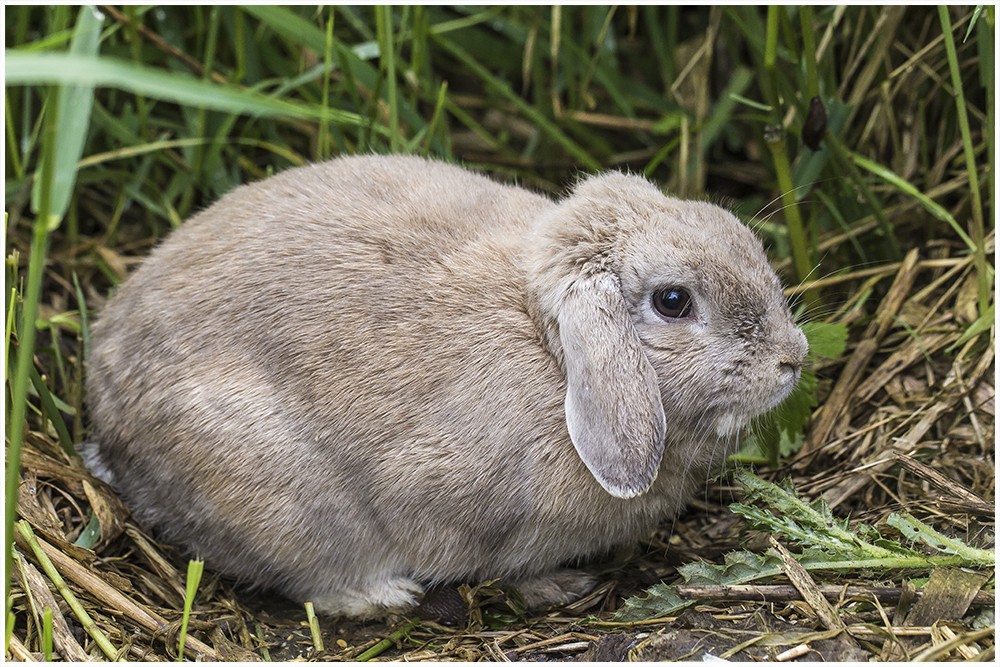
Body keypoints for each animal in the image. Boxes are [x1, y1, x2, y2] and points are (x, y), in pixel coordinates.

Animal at [84, 154, 804, 620]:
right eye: (673, 301)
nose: (791, 358)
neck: (551, 353)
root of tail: (106, 409)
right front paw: (554, 587)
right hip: (280, 500)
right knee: (305, 574)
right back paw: (383, 597)